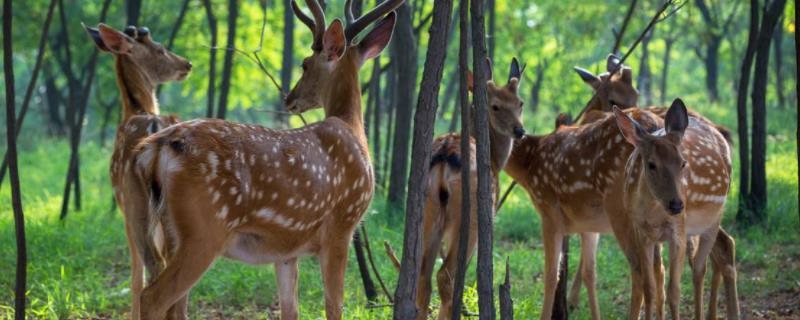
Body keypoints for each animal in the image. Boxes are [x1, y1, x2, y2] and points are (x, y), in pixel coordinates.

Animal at [84, 23, 191, 320]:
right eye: (160, 48)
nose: (187, 64)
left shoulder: (124, 210)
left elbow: (135, 275)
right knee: (172, 268)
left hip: (135, 203)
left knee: (154, 265)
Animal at [127, 1, 404, 318]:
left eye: (304, 64)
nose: (290, 98)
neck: (353, 130)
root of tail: (153, 148)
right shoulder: (341, 224)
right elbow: (334, 305)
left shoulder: (287, 249)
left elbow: (291, 309)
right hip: (204, 229)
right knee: (152, 296)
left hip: (158, 226)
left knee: (161, 296)